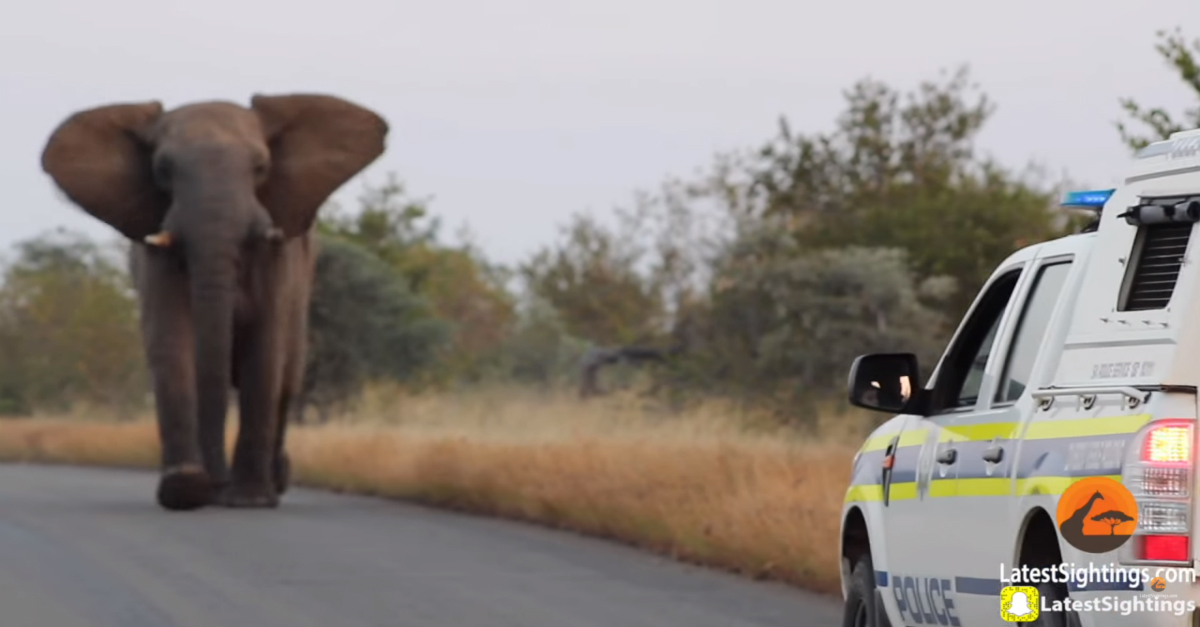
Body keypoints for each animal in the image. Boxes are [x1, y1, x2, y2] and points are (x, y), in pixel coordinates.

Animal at [39, 94, 388, 509]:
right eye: (162, 170)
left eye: (261, 167)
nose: (212, 483)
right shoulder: (154, 252)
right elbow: (172, 342)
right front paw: (185, 488)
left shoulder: (278, 258)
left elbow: (264, 351)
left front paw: (249, 501)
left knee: (287, 381)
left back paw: (273, 485)